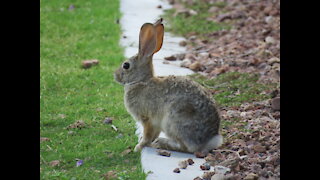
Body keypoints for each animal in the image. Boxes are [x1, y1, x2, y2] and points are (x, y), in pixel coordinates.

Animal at [115, 18, 222, 153]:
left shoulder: (147, 119)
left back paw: (161, 143)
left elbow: (148, 134)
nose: (115, 76)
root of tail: (209, 141)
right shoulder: (155, 123)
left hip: (173, 120)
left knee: (186, 148)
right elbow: (153, 134)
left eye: (126, 65)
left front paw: (139, 147)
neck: (141, 81)